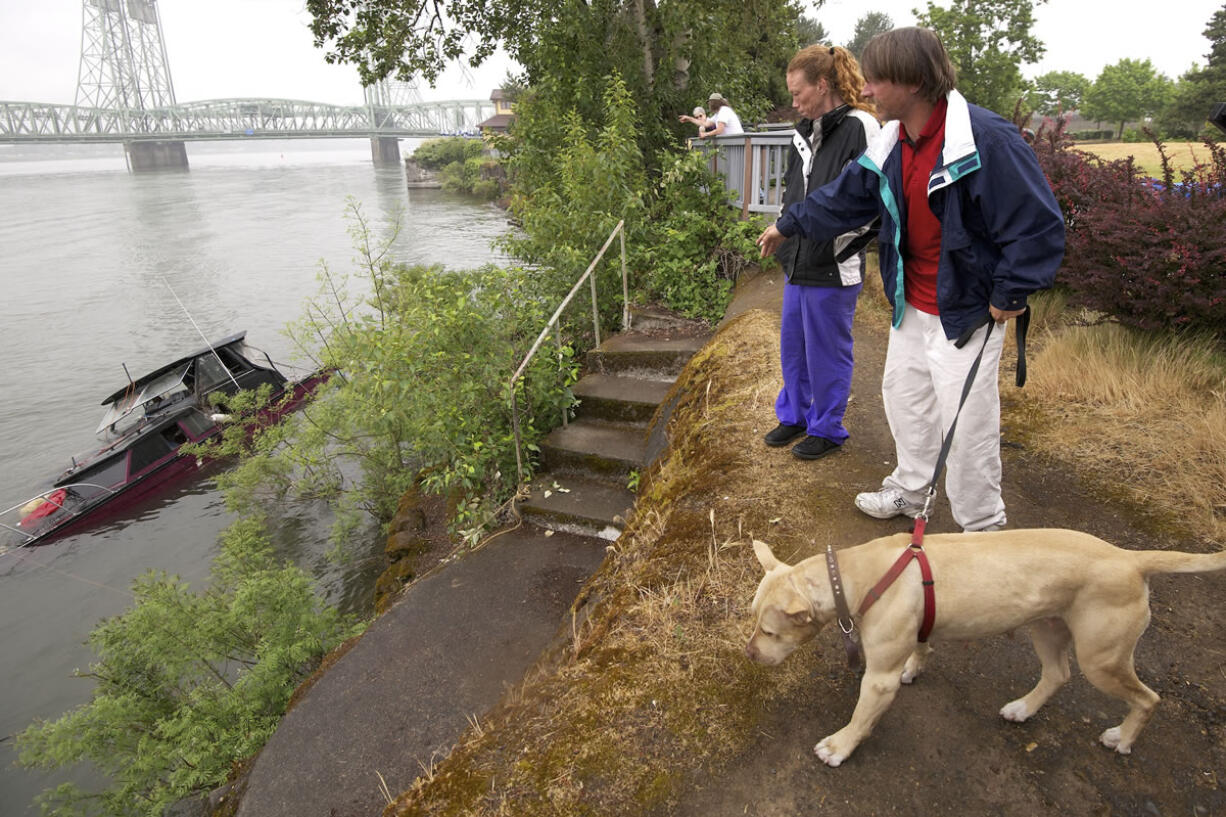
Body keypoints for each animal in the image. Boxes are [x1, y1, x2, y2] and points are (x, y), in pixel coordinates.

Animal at [740, 527, 1226, 765]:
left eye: (770, 632)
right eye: (753, 620)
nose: (749, 654)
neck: (853, 576)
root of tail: (1130, 558)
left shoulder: (877, 682)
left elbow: (861, 718)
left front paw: (839, 747)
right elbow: (923, 648)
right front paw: (915, 666)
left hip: (1102, 658)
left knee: (1147, 698)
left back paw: (1122, 738)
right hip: (1048, 627)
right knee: (1057, 674)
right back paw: (1024, 709)